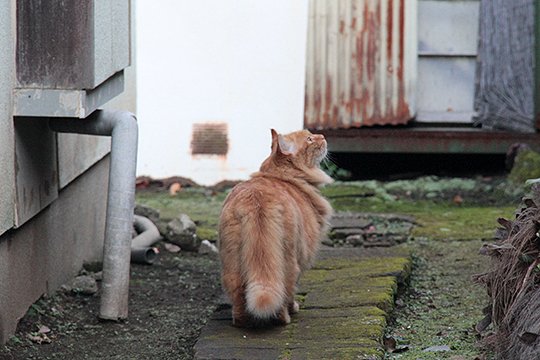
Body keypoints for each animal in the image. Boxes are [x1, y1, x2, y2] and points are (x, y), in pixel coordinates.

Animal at [217, 129, 332, 326]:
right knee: (285, 292)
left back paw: (243, 321)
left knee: (238, 298)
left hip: (231, 264)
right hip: (290, 261)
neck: (281, 176)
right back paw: (285, 317)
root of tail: (257, 198)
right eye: (310, 139)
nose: (322, 137)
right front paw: (294, 307)